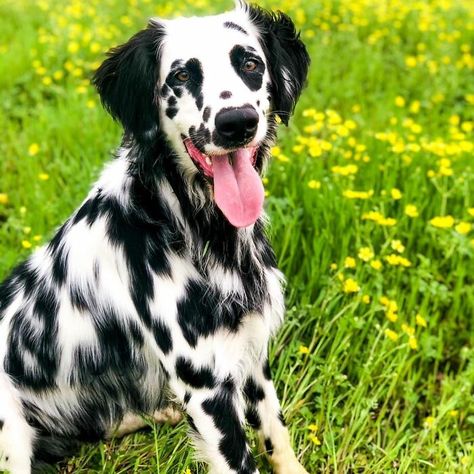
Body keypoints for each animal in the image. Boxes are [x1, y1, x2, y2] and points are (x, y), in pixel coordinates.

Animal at [0, 1, 312, 472]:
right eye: (181, 76)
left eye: (250, 64)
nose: (237, 122)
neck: (190, 224)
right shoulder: (206, 387)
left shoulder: (251, 353)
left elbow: (276, 432)